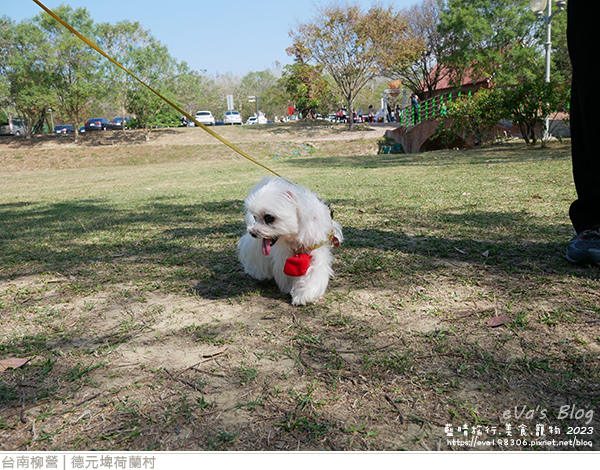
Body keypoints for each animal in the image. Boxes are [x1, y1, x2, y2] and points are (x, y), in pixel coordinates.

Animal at [238, 178, 342, 306]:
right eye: (255, 217)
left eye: (269, 217)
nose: (252, 232)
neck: (294, 235)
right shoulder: (284, 254)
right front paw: (289, 287)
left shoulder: (315, 249)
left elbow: (313, 272)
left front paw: (305, 294)